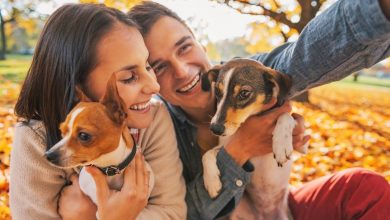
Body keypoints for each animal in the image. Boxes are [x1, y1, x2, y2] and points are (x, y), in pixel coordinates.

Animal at [201, 57, 308, 219]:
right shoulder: (227, 144)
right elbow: (207, 154)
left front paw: (281, 145)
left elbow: (286, 116)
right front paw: (212, 181)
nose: (215, 129)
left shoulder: (300, 141)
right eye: (218, 92)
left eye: (244, 93)